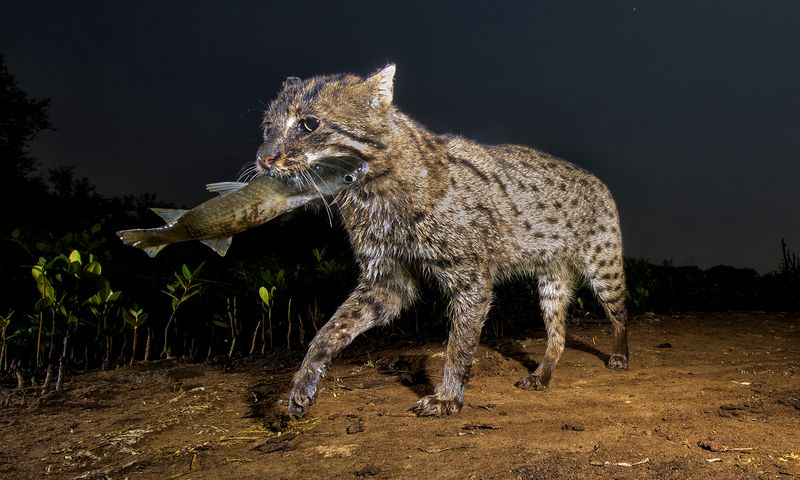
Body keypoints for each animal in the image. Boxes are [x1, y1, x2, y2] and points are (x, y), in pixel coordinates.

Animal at [253, 65, 628, 418]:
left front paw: (448, 397)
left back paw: (621, 355)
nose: (263, 158)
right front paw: (302, 384)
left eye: (309, 124)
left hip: (603, 265)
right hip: (551, 277)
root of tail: (598, 180)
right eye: (267, 128)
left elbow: (458, 343)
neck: (370, 191)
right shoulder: (385, 279)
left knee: (620, 312)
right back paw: (541, 375)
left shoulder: (470, 278)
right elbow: (330, 329)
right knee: (558, 335)